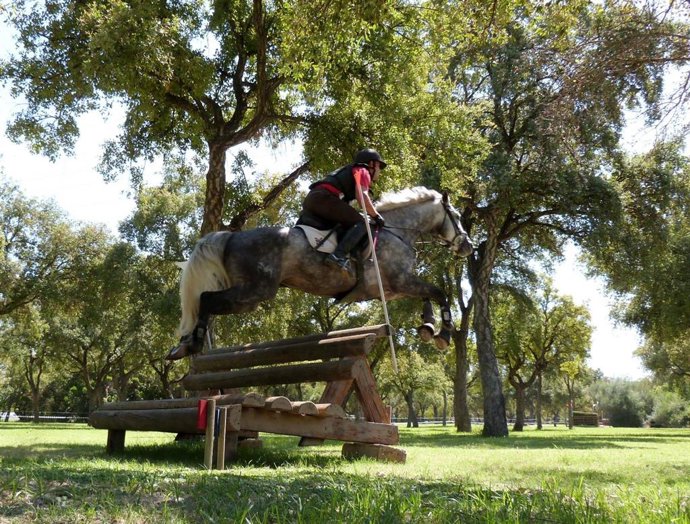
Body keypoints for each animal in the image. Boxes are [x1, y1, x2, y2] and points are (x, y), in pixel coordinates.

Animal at [166, 187, 473, 360]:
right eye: (457, 217)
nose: (468, 246)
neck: (397, 231)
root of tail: (231, 236)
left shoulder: (394, 288)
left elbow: (427, 295)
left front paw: (428, 326)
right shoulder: (401, 280)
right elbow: (438, 292)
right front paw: (443, 335)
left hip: (248, 292)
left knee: (205, 301)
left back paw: (183, 346)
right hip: (253, 293)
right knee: (206, 299)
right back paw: (191, 344)